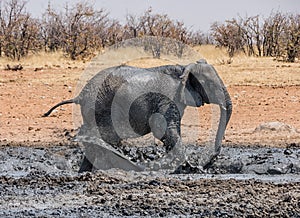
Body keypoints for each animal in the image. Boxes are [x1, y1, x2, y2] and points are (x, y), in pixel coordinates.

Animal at [43, 59, 233, 172]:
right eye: (209, 84)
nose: (207, 162)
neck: (184, 67)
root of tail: (80, 96)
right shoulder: (168, 98)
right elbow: (163, 129)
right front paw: (185, 167)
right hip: (99, 106)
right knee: (106, 137)